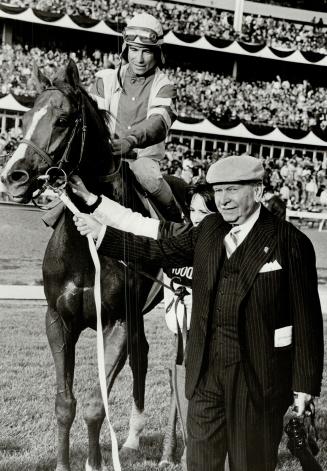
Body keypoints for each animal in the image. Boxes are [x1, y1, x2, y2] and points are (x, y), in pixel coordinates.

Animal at [0, 60, 187, 471]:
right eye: (24, 118)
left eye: (63, 119)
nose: (14, 177)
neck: (87, 246)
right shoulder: (58, 321)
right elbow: (64, 404)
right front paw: (63, 463)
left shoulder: (115, 322)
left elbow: (94, 405)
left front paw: (95, 461)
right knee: (142, 353)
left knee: (141, 358)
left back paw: (132, 439)